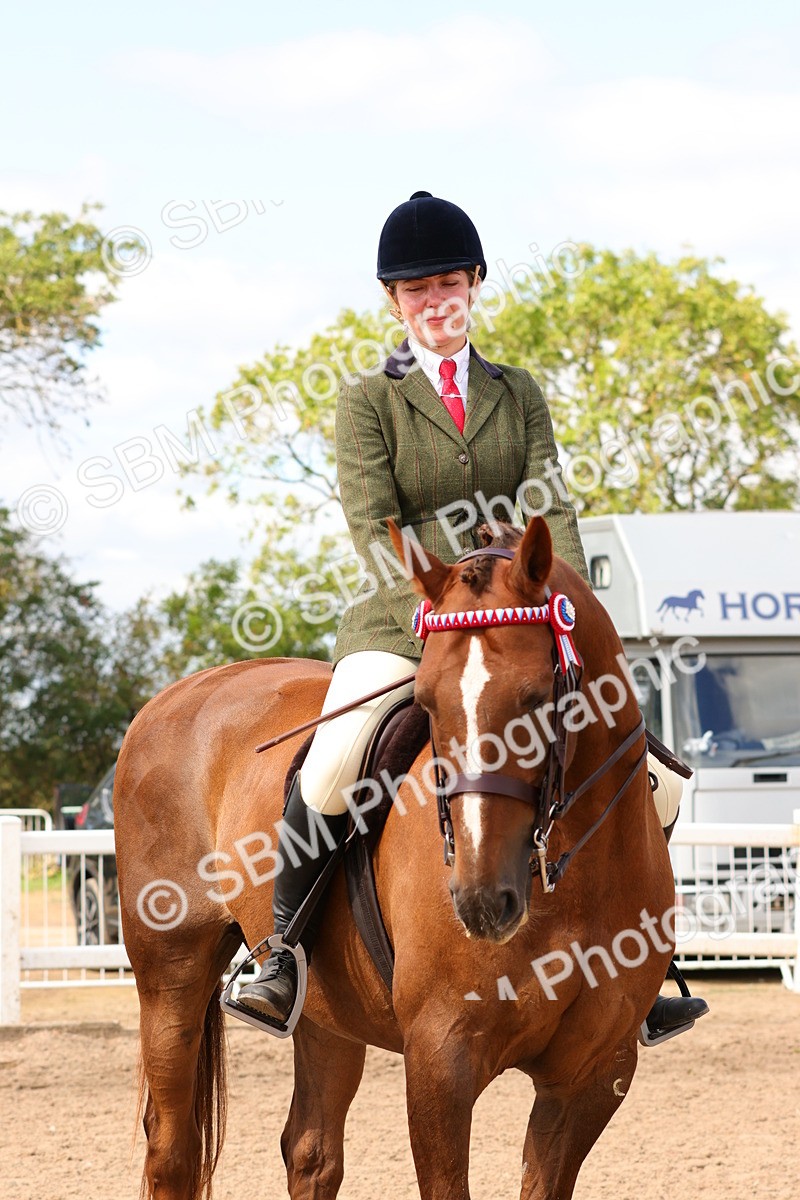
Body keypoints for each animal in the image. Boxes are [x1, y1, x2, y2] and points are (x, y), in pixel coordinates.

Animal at [115, 515, 676, 1200]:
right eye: (429, 704)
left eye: (538, 697)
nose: (480, 901)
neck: (566, 879)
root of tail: (175, 694)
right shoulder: (441, 1061)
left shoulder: (594, 1075)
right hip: (170, 970)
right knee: (171, 1149)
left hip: (326, 1009)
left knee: (310, 1151)